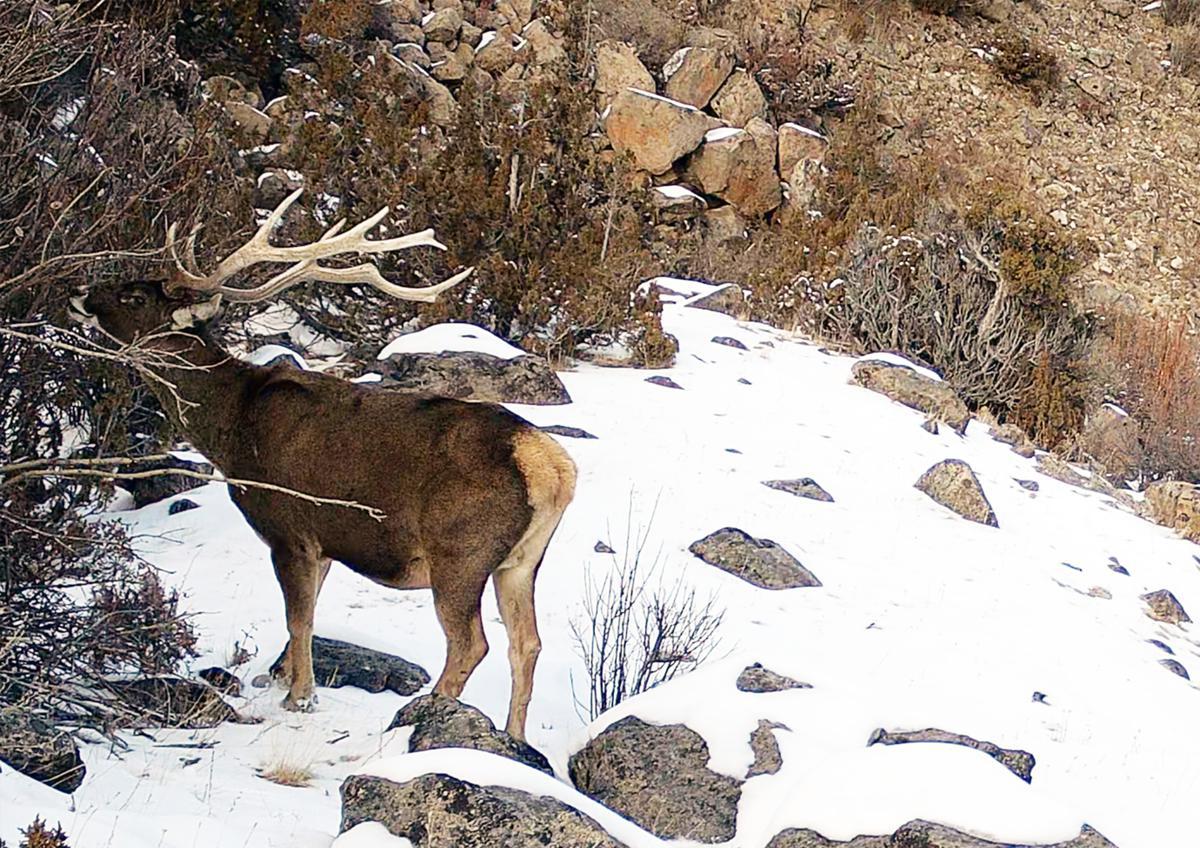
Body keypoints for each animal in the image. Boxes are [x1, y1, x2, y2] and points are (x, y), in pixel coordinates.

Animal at [69, 190, 576, 741]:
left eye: (135, 297)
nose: (79, 294)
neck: (230, 427)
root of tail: (551, 469)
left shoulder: (289, 528)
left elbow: (299, 617)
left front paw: (299, 698)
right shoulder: (328, 540)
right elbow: (309, 611)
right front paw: (286, 680)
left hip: (459, 551)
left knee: (470, 643)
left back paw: (422, 716)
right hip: (521, 562)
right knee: (526, 644)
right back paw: (514, 736)